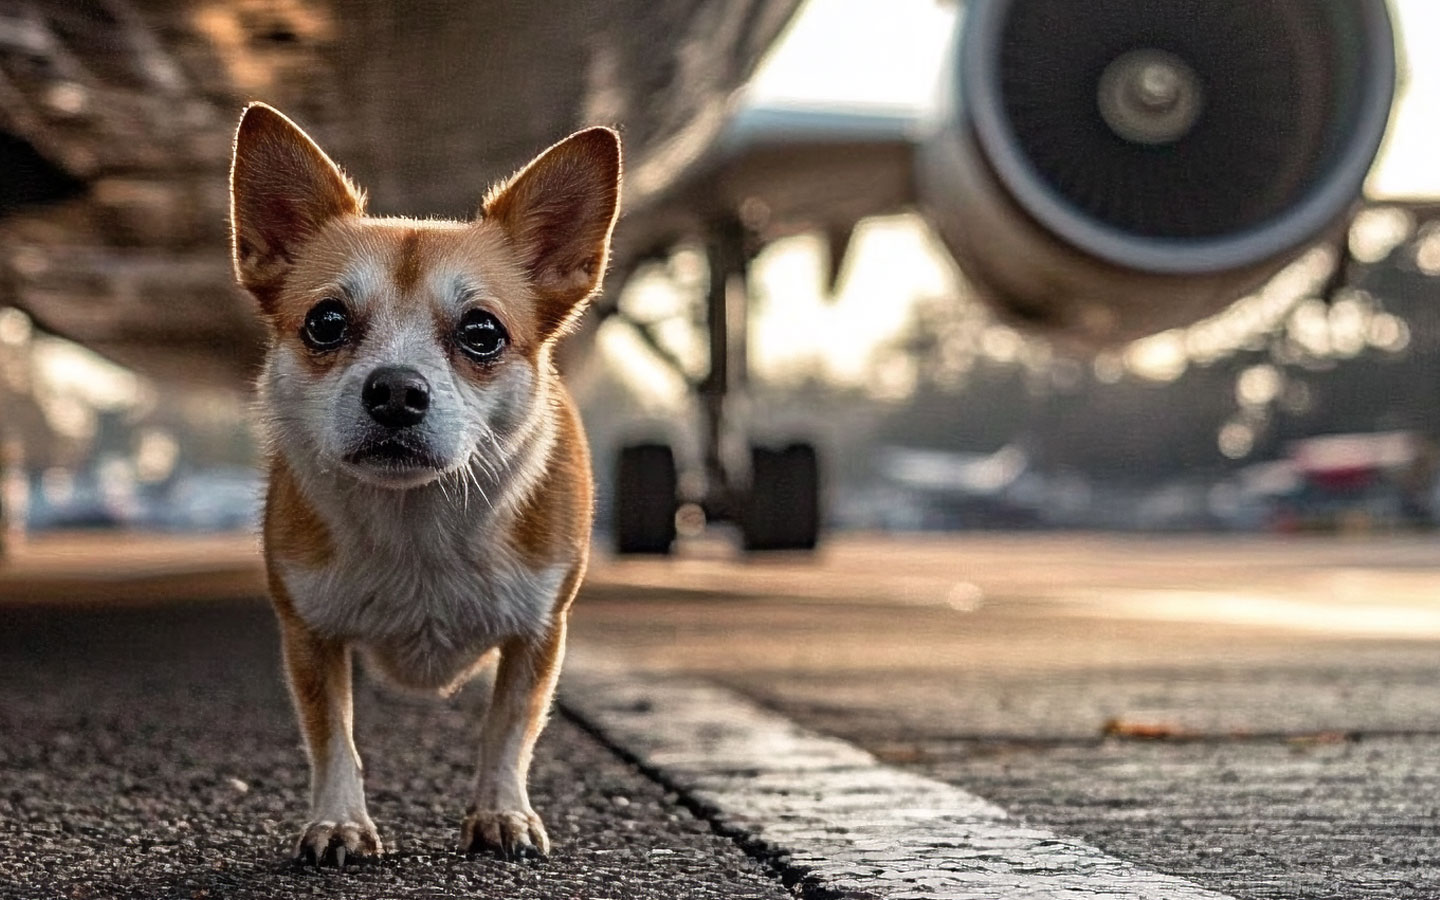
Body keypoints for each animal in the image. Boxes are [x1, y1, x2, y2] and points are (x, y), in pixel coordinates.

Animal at [227, 101, 622, 858]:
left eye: (482, 333)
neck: (417, 523)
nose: (395, 391)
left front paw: (502, 812)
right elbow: (332, 736)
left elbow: (508, 730)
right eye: (326, 322)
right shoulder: (309, 636)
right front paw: (339, 822)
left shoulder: (539, 633)